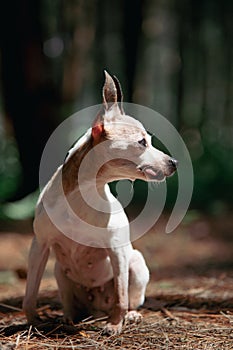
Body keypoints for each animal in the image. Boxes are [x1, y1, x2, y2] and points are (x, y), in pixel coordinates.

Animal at [22, 70, 177, 334]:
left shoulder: (117, 251)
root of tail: (96, 308)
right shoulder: (39, 246)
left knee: (127, 298)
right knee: (71, 304)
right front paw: (33, 322)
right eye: (142, 142)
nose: (174, 163)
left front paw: (115, 325)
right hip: (60, 272)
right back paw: (69, 318)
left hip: (136, 263)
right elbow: (30, 294)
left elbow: (121, 296)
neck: (84, 192)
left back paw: (129, 315)